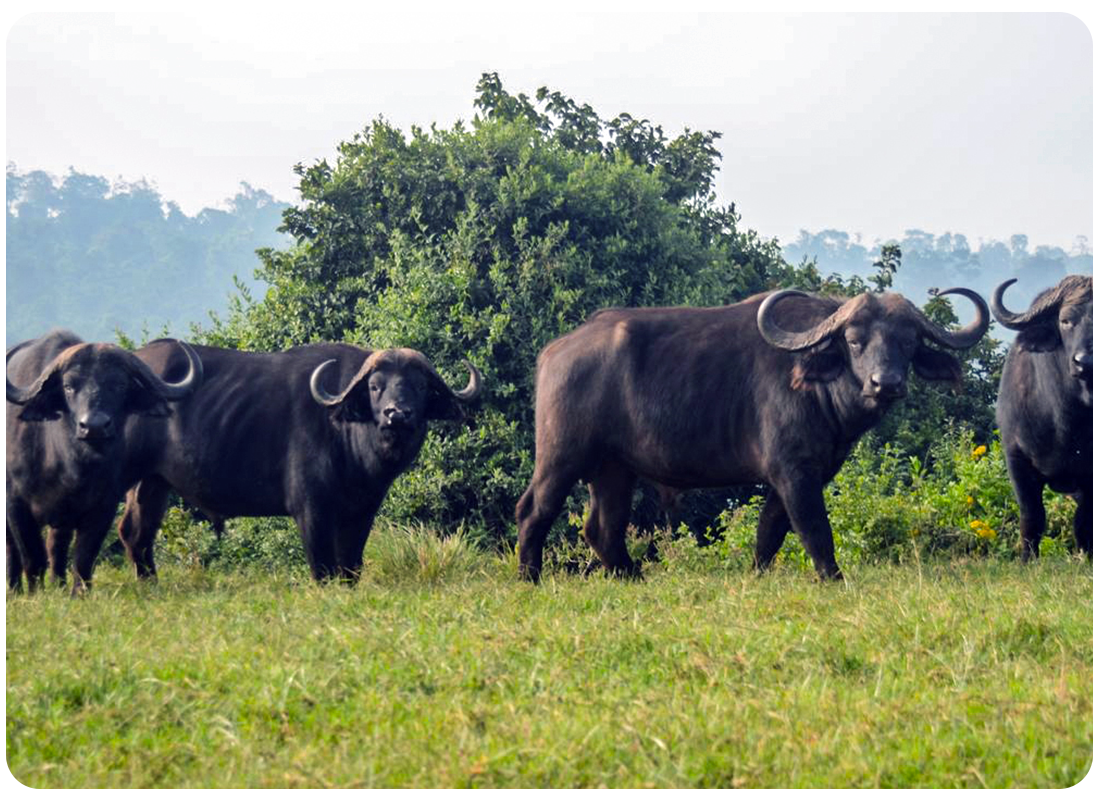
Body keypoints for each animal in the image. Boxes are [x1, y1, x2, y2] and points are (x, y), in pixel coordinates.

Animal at [6, 330, 202, 593]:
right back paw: (15, 589)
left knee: (56, 547)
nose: (94, 426)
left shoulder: (103, 507)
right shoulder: (15, 505)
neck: (65, 464)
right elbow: (31, 558)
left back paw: (58, 585)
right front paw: (34, 594)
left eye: (119, 385)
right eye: (68, 386)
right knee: (15, 551)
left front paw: (78, 594)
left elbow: (83, 558)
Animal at [117, 342, 481, 582]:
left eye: (420, 386)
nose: (397, 414)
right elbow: (324, 568)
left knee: (136, 533)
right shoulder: (311, 509)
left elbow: (351, 565)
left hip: (154, 482)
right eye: (376, 387)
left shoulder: (362, 512)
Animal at [516, 287, 989, 582]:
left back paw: (632, 576)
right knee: (534, 510)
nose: (885, 383)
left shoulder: (795, 476)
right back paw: (530, 576)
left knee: (602, 528)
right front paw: (833, 578)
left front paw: (758, 574)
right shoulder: (794, 471)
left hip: (614, 468)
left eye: (908, 343)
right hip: (562, 455)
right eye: (854, 341)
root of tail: (555, 351)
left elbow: (770, 532)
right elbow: (814, 529)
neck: (819, 386)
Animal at [992, 275, 1092, 560]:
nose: (1084, 362)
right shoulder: (1016, 460)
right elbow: (1032, 517)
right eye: (1065, 321)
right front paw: (1027, 559)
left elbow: (1084, 521)